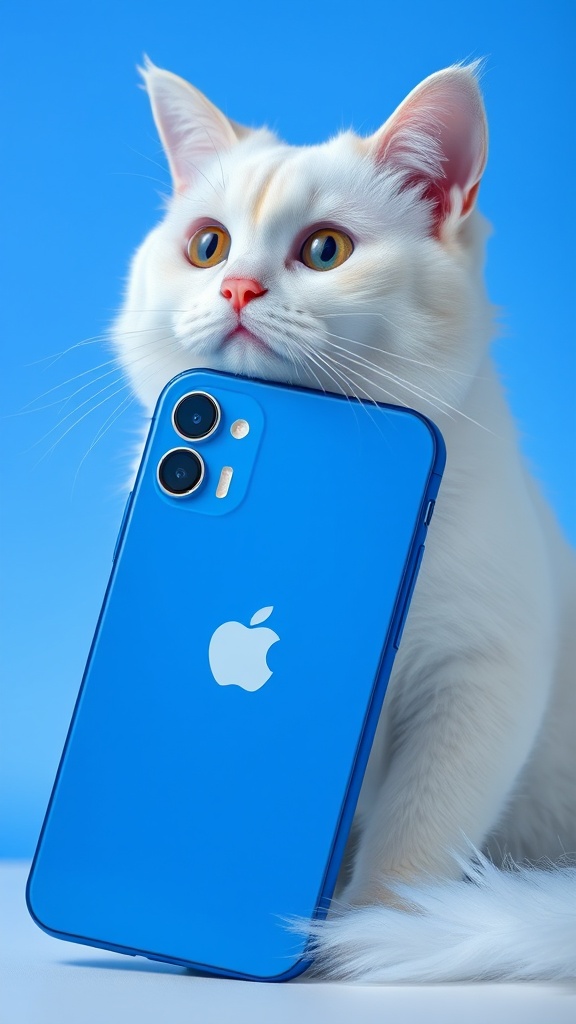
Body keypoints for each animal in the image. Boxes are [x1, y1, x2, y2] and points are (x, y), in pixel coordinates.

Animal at [113, 58, 573, 983]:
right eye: (207, 245)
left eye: (326, 249)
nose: (237, 286)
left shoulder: (482, 671)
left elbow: (421, 824)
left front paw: (375, 934)